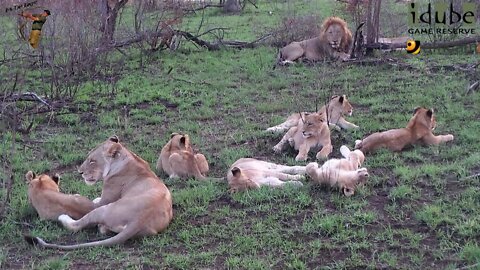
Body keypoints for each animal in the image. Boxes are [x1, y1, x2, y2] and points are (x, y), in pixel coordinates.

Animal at [24, 136, 173, 250]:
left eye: (92, 161)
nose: (80, 172)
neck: (130, 159)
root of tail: (139, 221)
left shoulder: (104, 200)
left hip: (103, 209)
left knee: (76, 225)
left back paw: (64, 217)